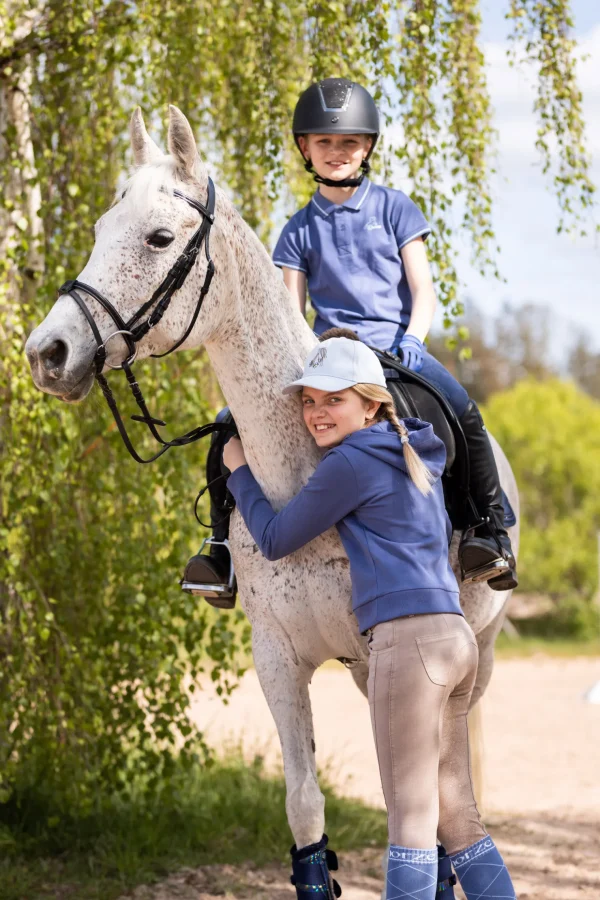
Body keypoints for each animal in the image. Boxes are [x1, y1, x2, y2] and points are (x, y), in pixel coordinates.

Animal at [25, 109, 516, 856]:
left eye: (159, 237)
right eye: (101, 230)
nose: (47, 354)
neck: (304, 477)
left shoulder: (390, 656)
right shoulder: (277, 658)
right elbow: (305, 806)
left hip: (474, 655)